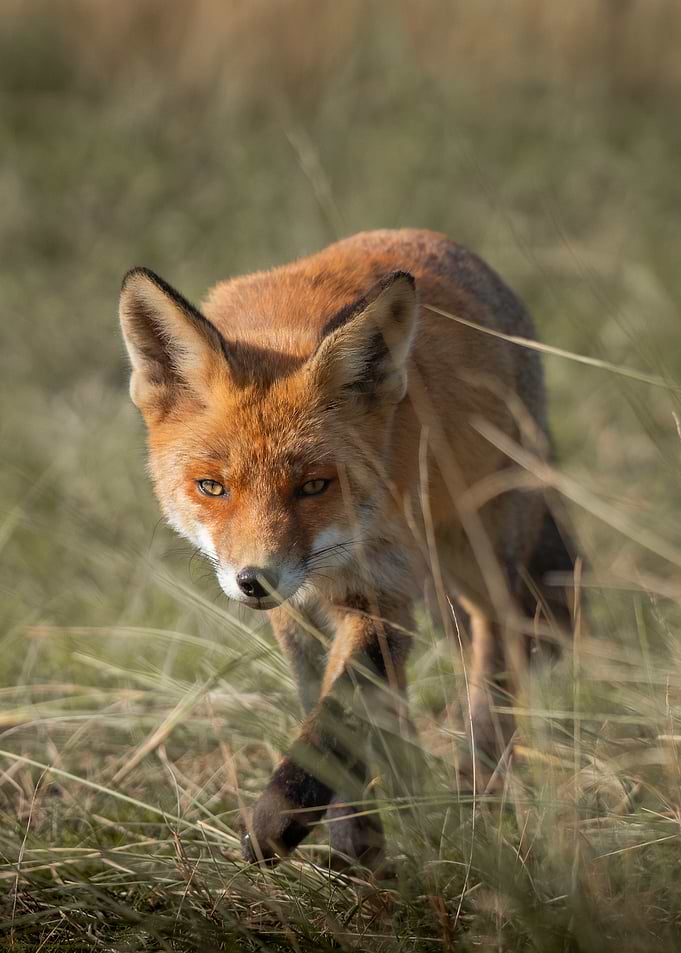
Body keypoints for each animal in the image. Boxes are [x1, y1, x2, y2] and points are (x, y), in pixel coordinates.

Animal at [119, 228, 574, 869]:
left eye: (314, 486)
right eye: (212, 487)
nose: (254, 580)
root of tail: (440, 241)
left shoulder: (380, 592)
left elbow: (339, 719)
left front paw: (282, 823)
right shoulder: (300, 612)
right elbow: (329, 711)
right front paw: (353, 838)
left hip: (478, 558)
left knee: (498, 652)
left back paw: (478, 790)